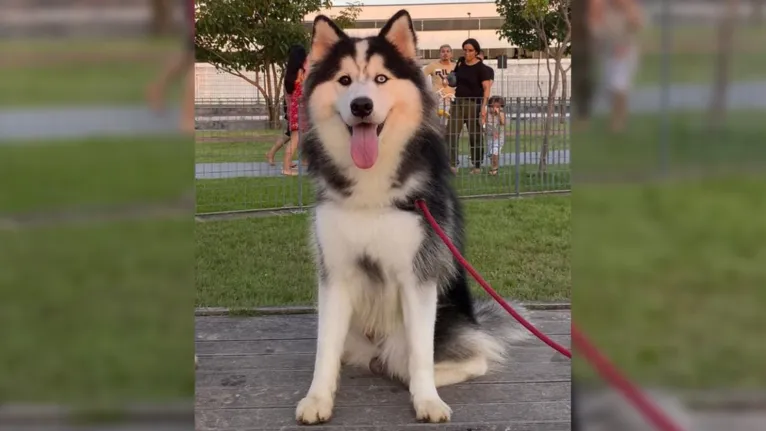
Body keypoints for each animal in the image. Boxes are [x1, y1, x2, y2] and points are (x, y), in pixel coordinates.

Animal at [296, 9, 532, 426]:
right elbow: (325, 350)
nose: (361, 106)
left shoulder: (419, 275)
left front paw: (426, 400)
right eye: (344, 80)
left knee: (468, 357)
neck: (371, 189)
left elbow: (421, 355)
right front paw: (318, 398)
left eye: (380, 79)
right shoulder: (335, 275)